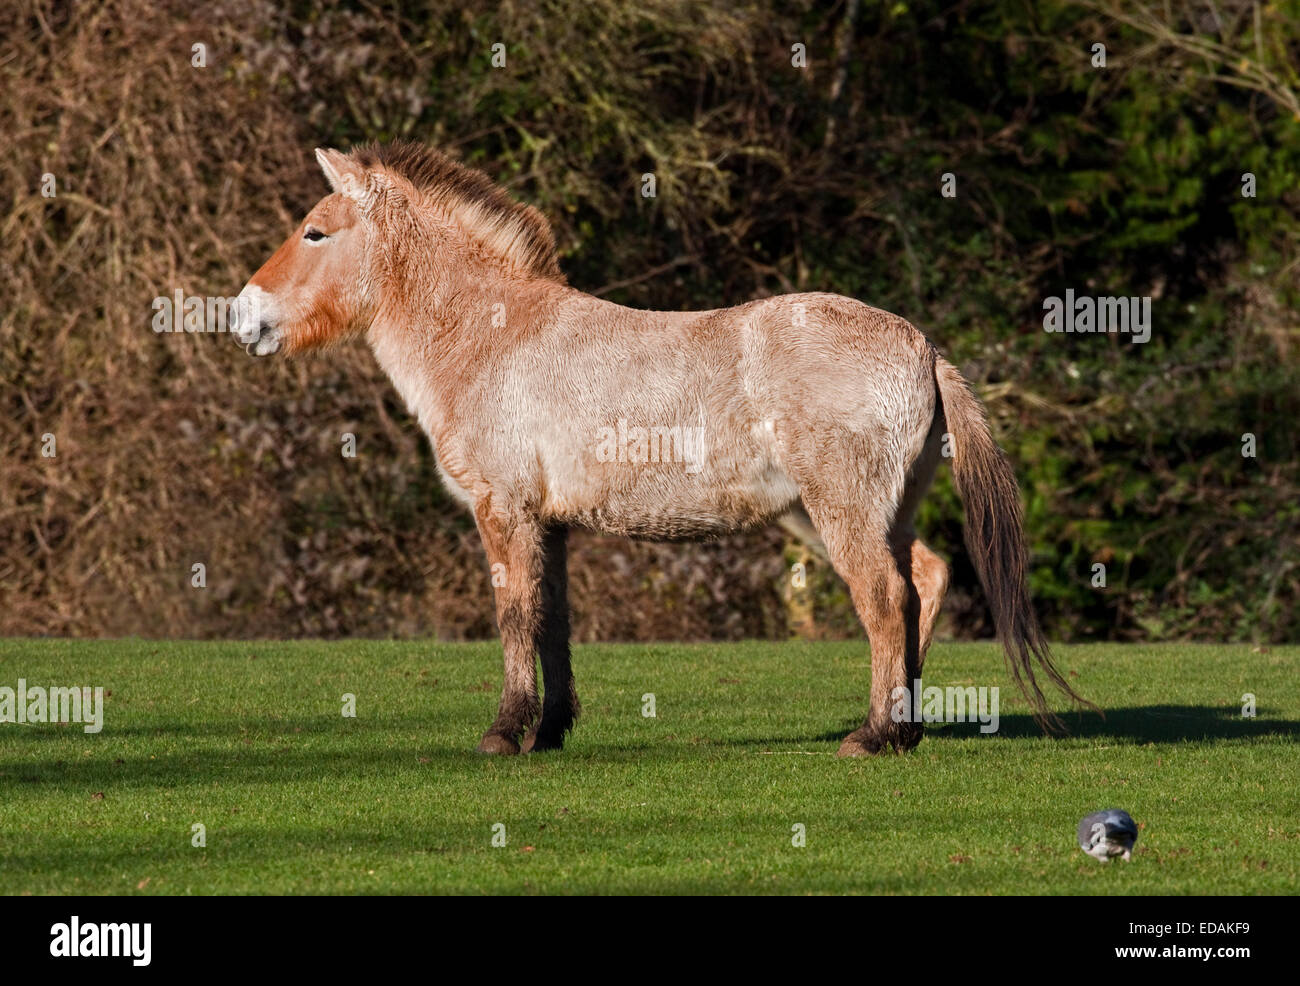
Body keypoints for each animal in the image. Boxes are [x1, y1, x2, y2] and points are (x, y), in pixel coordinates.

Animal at [231, 141, 1086, 754]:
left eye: (315, 231)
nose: (243, 316)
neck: (494, 335)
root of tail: (924, 347)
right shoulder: (550, 525)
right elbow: (551, 621)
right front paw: (550, 731)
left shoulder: (504, 512)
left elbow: (513, 614)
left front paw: (505, 733)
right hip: (857, 513)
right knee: (927, 579)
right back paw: (904, 728)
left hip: (838, 512)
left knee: (884, 596)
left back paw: (873, 736)